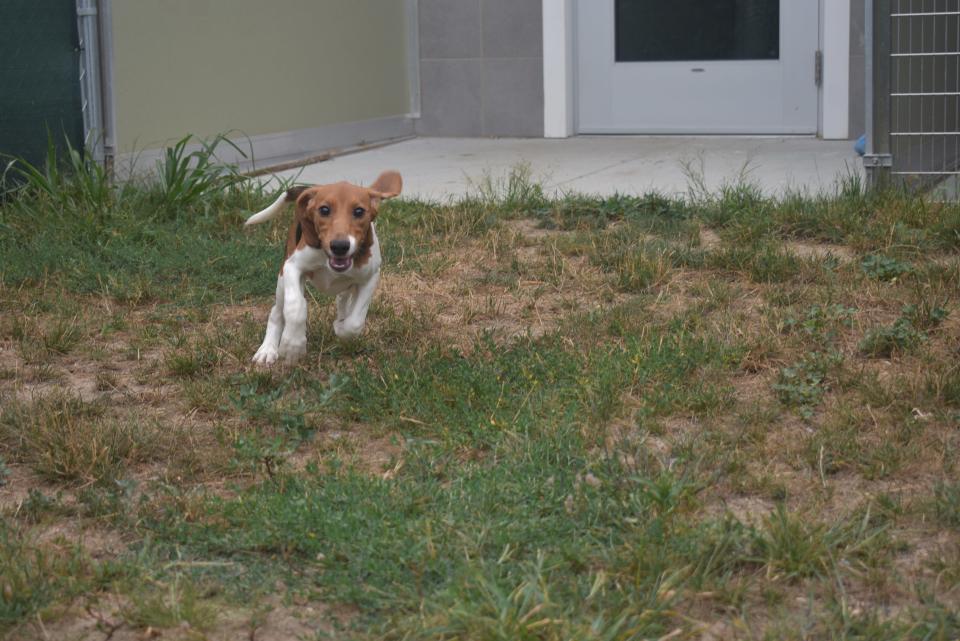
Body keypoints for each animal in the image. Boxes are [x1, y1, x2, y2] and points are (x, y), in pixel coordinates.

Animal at [246, 170, 404, 364]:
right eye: (324, 210)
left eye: (359, 211)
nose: (340, 246)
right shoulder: (293, 267)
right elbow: (296, 306)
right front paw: (293, 345)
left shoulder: (371, 277)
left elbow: (354, 322)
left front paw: (340, 327)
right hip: (282, 279)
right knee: (277, 312)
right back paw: (268, 349)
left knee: (343, 300)